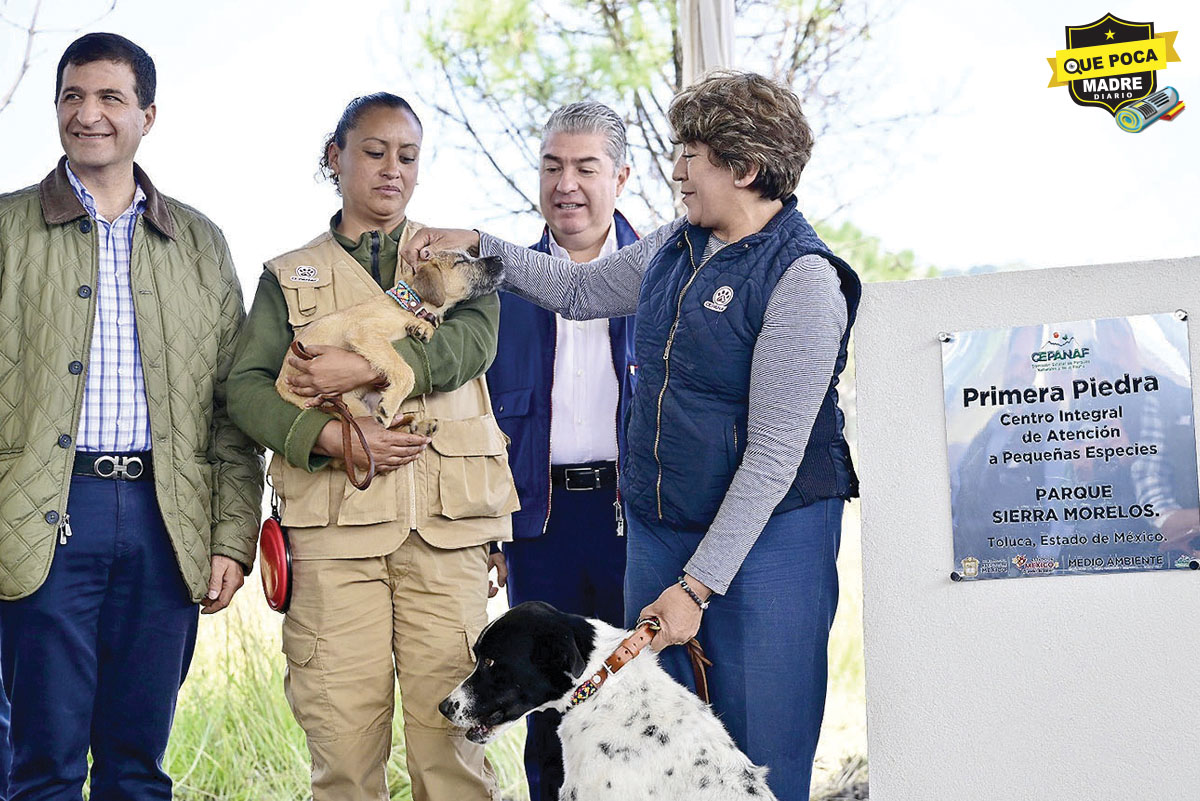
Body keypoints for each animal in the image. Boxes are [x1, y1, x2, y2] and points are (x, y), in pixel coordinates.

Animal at [276, 250, 501, 429]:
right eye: (461, 261)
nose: (499, 258)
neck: (409, 303)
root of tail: (280, 386)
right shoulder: (365, 332)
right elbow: (406, 371)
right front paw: (390, 405)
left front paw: (423, 328)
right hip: (348, 408)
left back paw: (421, 427)